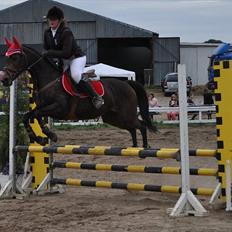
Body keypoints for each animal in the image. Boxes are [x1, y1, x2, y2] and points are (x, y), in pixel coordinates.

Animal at [0, 37, 156, 148]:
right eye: (7, 57)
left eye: (15, 58)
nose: (4, 79)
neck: (49, 80)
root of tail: (126, 83)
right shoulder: (43, 107)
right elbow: (28, 116)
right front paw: (42, 138)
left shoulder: (59, 108)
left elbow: (35, 115)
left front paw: (48, 136)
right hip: (114, 118)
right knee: (132, 128)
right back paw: (134, 147)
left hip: (125, 115)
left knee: (141, 125)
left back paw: (144, 148)